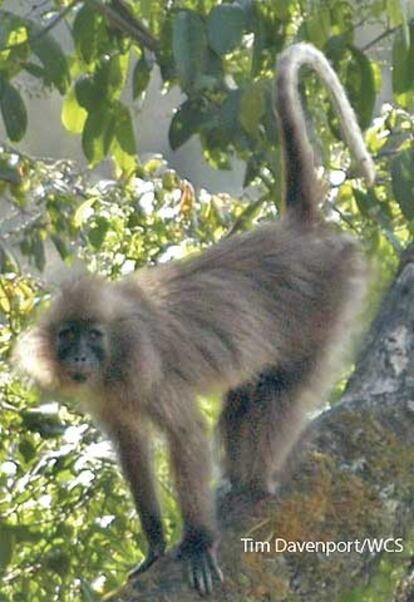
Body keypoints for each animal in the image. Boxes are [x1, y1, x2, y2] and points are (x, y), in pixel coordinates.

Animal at [14, 43, 374, 596]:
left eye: (93, 337)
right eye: (68, 336)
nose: (78, 356)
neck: (119, 351)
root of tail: (298, 231)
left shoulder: (152, 372)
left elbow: (184, 435)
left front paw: (199, 542)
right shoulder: (110, 398)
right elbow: (132, 447)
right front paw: (155, 543)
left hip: (325, 304)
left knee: (278, 389)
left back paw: (256, 483)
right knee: (245, 397)